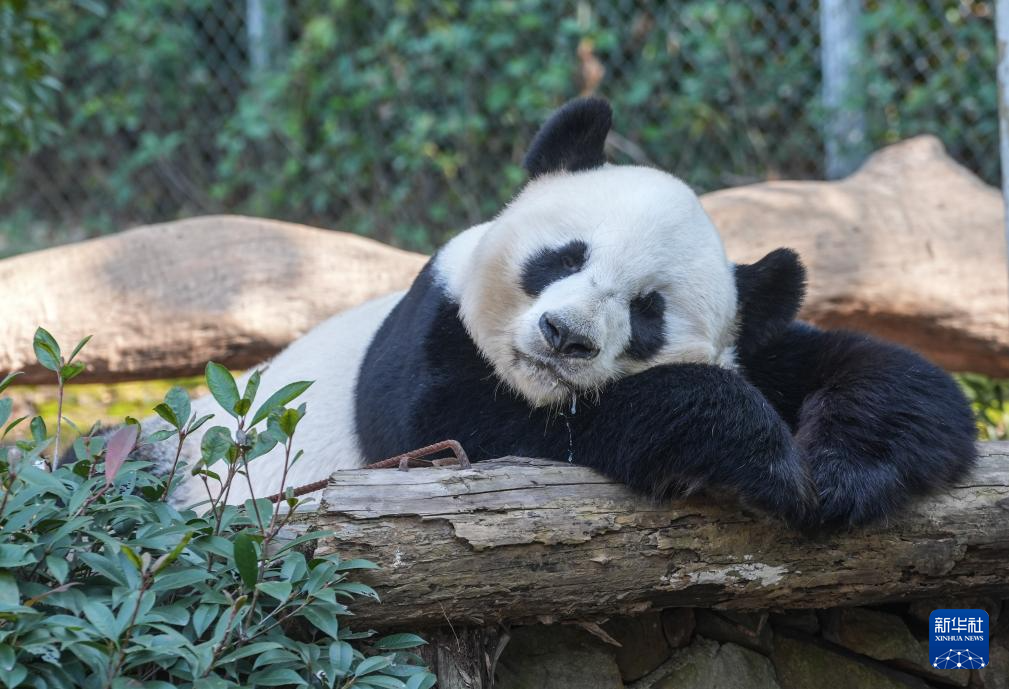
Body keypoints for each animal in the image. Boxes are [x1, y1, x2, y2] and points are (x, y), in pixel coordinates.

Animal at [169, 96, 980, 532]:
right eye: (563, 257)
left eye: (648, 311)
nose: (566, 337)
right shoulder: (429, 344)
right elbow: (477, 432)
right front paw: (751, 449)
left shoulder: (760, 346)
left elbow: (894, 377)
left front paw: (841, 472)